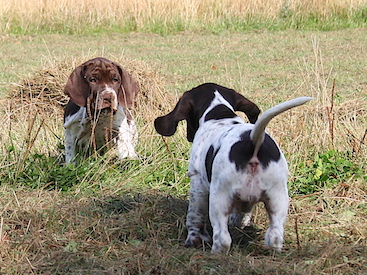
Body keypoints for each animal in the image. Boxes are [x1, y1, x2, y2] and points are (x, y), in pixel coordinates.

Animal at [155, 83, 314, 256]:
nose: (189, 136)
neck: (219, 114)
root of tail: (252, 142)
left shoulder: (197, 181)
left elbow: (194, 216)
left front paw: (194, 239)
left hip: (219, 200)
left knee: (223, 238)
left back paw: (216, 253)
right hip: (278, 198)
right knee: (275, 236)